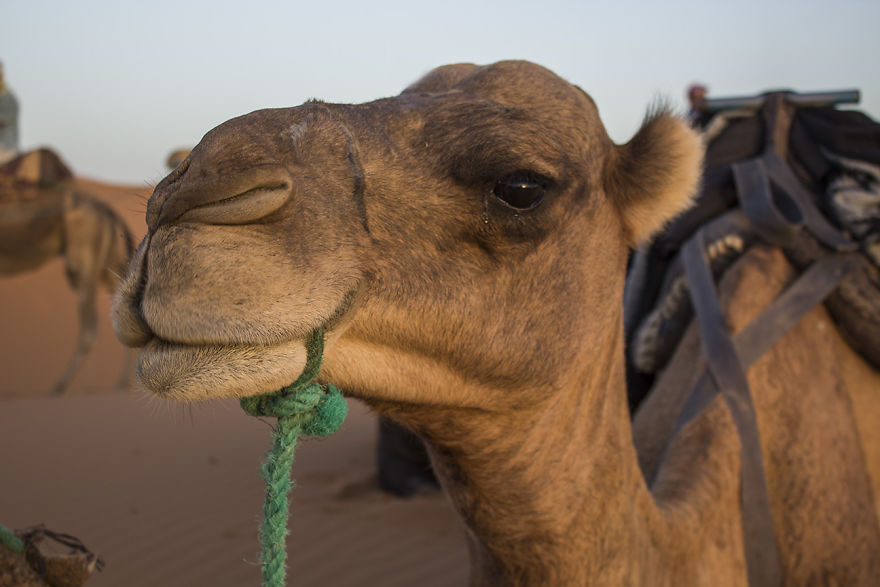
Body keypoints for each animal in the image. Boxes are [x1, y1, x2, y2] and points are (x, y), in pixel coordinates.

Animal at [1, 148, 137, 394]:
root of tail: (106, 208)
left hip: (82, 258)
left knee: (89, 328)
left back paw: (60, 384)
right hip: (106, 261)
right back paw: (122, 382)